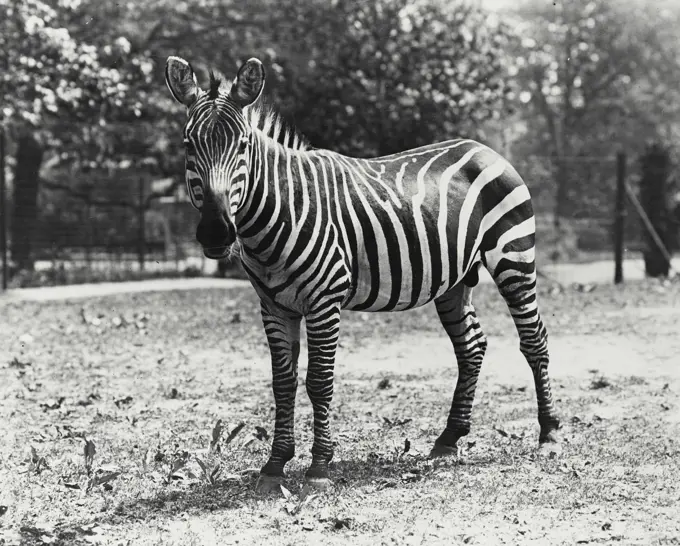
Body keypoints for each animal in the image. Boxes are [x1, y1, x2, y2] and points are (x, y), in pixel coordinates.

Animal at [166, 56, 564, 488]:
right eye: (187, 145)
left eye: (243, 146)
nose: (216, 231)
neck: (279, 212)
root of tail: (484, 148)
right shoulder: (273, 306)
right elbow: (283, 383)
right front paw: (275, 464)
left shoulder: (324, 302)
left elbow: (319, 381)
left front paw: (320, 466)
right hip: (455, 280)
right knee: (471, 346)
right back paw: (449, 438)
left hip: (514, 256)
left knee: (534, 339)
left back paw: (549, 433)